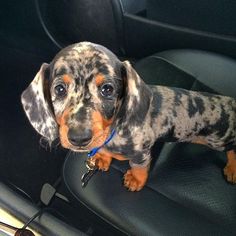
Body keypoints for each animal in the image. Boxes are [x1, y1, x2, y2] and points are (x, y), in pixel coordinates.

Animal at [20, 41, 236, 191]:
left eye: (107, 89)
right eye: (59, 89)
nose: (79, 138)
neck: (112, 133)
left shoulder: (142, 153)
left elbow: (139, 167)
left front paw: (135, 180)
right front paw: (103, 158)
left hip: (219, 139)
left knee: (232, 149)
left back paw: (232, 168)